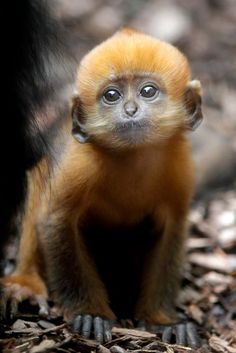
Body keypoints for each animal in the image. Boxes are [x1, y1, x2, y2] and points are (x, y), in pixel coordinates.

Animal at [0, 28, 203, 346]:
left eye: (148, 91)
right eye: (111, 95)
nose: (130, 110)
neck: (133, 157)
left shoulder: (179, 167)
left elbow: (171, 230)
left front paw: (162, 320)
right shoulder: (79, 163)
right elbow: (57, 220)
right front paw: (91, 314)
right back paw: (25, 283)